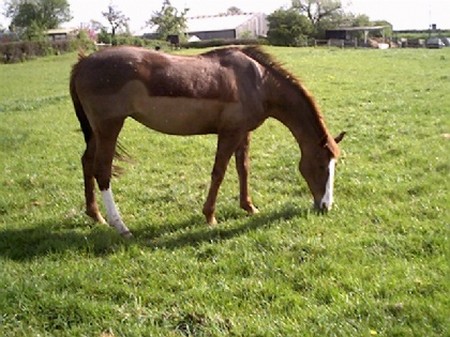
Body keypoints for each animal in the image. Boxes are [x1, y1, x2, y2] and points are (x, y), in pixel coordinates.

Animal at [70, 45, 344, 236]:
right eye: (322, 165)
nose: (326, 206)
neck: (258, 81)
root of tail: (83, 63)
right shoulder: (229, 133)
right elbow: (219, 172)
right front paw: (210, 216)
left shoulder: (243, 133)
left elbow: (243, 169)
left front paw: (248, 207)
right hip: (109, 128)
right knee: (102, 171)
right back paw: (121, 226)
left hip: (96, 132)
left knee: (86, 163)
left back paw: (96, 215)